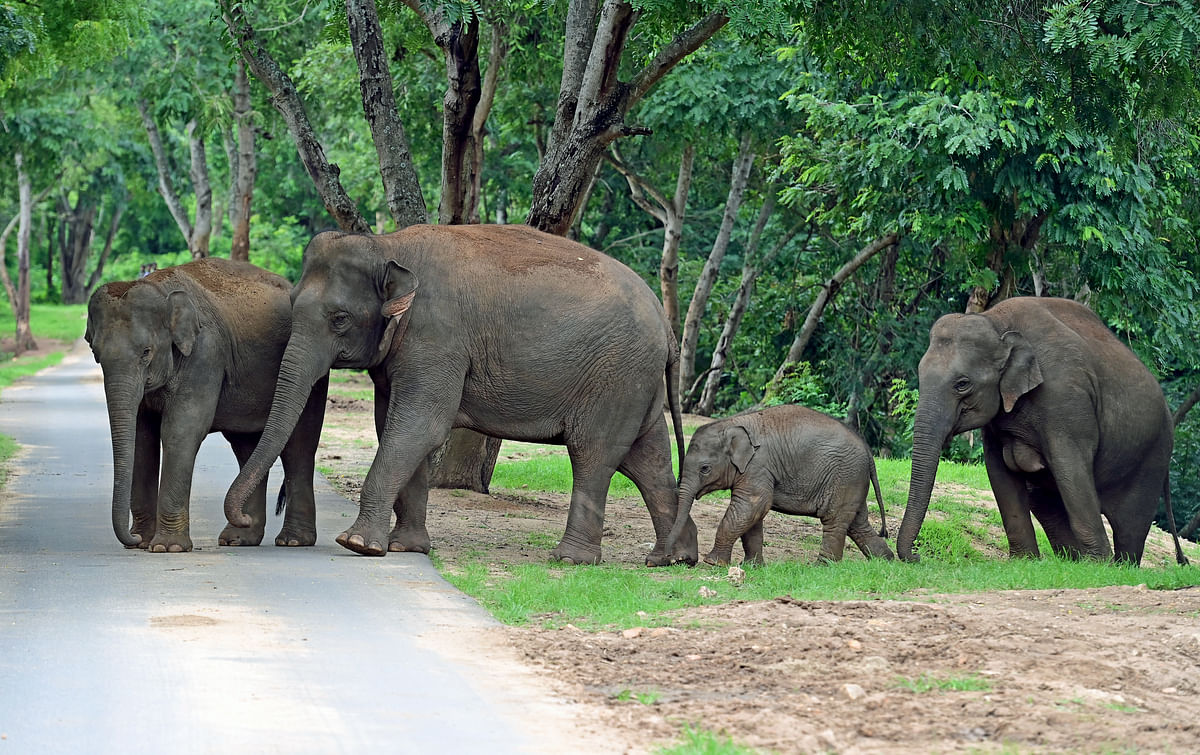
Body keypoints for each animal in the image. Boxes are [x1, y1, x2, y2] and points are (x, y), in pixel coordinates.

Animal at [84, 255, 328, 549]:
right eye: (96, 354)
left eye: (146, 352)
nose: (132, 538)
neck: (161, 290)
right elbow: (142, 438)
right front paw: (144, 542)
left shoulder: (206, 353)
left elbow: (181, 430)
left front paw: (167, 547)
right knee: (246, 447)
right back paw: (239, 537)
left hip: (312, 369)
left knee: (298, 447)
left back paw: (292, 541)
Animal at [222, 223, 700, 566]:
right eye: (292, 304)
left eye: (339, 319)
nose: (244, 517)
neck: (387, 245)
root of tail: (665, 322)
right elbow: (394, 426)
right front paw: (407, 549)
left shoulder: (438, 337)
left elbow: (418, 426)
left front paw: (358, 544)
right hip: (634, 383)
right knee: (647, 460)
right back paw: (672, 559)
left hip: (614, 375)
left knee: (594, 455)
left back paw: (572, 561)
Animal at [662, 403, 897, 561]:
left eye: (705, 469)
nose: (666, 558)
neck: (732, 423)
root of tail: (868, 451)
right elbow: (753, 515)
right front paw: (752, 566)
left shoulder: (759, 466)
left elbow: (752, 505)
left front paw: (713, 563)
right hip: (853, 481)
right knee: (858, 524)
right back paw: (885, 561)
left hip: (845, 477)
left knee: (835, 521)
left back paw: (822, 567)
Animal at [902, 294, 1190, 566]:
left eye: (962, 384)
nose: (916, 556)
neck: (996, 321)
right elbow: (1000, 473)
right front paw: (1024, 561)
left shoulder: (1065, 398)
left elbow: (1071, 467)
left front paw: (1100, 565)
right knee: (1044, 501)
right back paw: (1074, 560)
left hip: (1151, 455)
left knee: (1130, 523)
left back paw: (1118, 565)